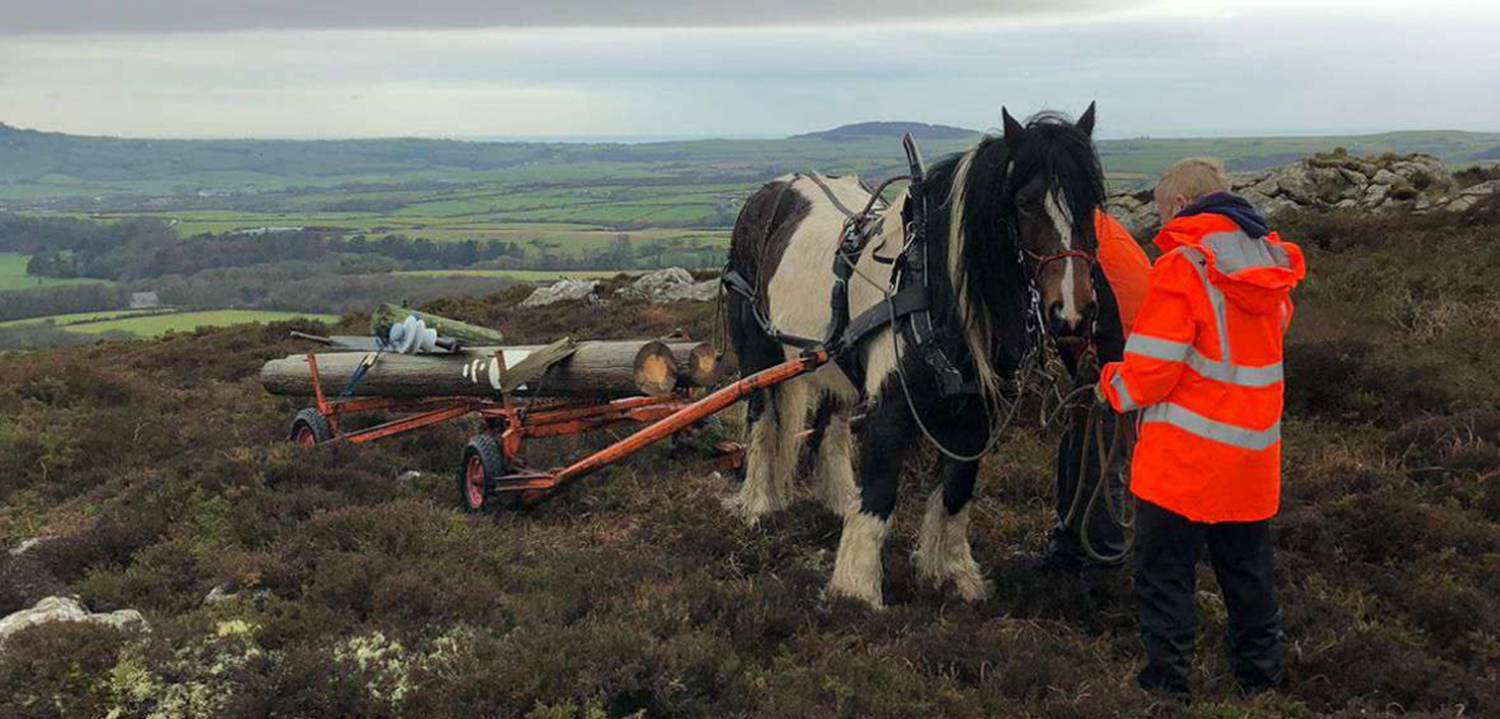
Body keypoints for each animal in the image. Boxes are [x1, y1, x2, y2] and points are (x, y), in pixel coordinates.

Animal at [720, 104, 1110, 606]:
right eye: (1024, 202)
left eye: (1092, 204)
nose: (1073, 313)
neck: (928, 283)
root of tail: (772, 190)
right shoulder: (889, 407)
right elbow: (882, 489)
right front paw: (858, 590)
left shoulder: (975, 414)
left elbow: (957, 491)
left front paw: (953, 573)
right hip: (758, 352)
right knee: (761, 419)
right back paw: (757, 503)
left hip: (834, 360)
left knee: (829, 426)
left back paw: (838, 500)